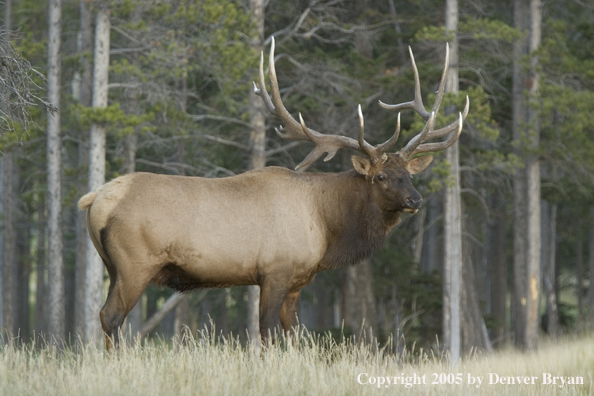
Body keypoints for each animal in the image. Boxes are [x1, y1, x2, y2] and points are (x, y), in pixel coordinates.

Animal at [78, 38, 468, 352]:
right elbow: (266, 333)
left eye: (410, 175)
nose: (415, 201)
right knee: (111, 316)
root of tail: (95, 198)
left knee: (107, 315)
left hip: (111, 266)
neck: (326, 225)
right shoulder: (274, 270)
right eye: (382, 176)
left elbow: (293, 333)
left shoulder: (298, 280)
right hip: (135, 264)